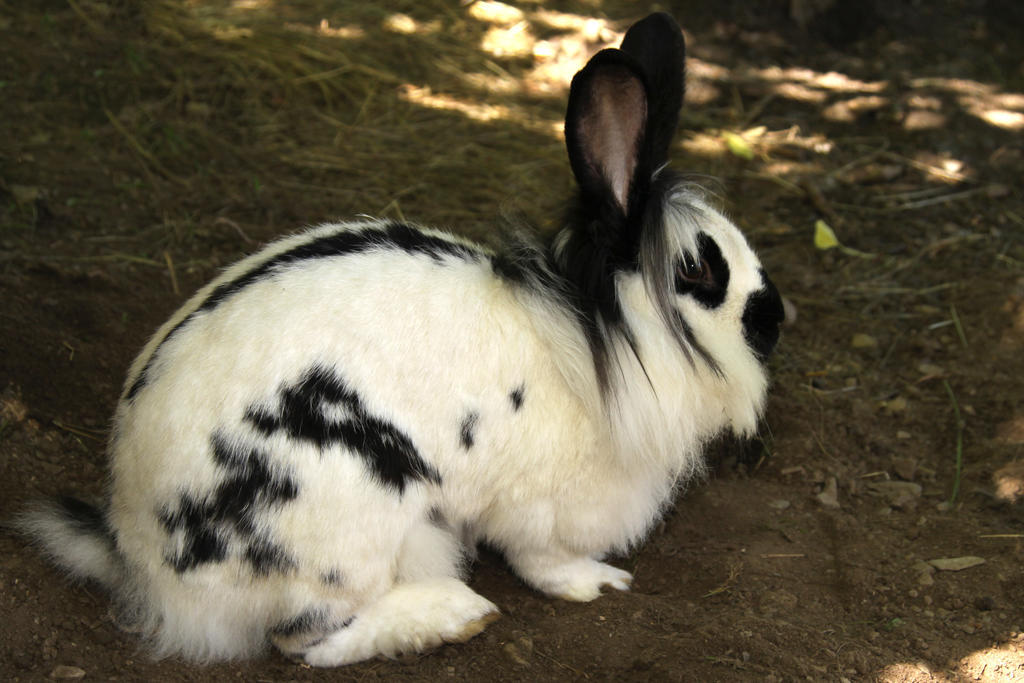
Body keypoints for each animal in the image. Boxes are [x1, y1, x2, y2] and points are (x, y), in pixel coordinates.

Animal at [14, 13, 782, 667]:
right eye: (698, 270)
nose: (775, 321)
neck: (590, 333)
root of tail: (135, 550)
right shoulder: (537, 507)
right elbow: (545, 562)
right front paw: (599, 581)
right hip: (346, 529)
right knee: (306, 638)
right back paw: (453, 612)